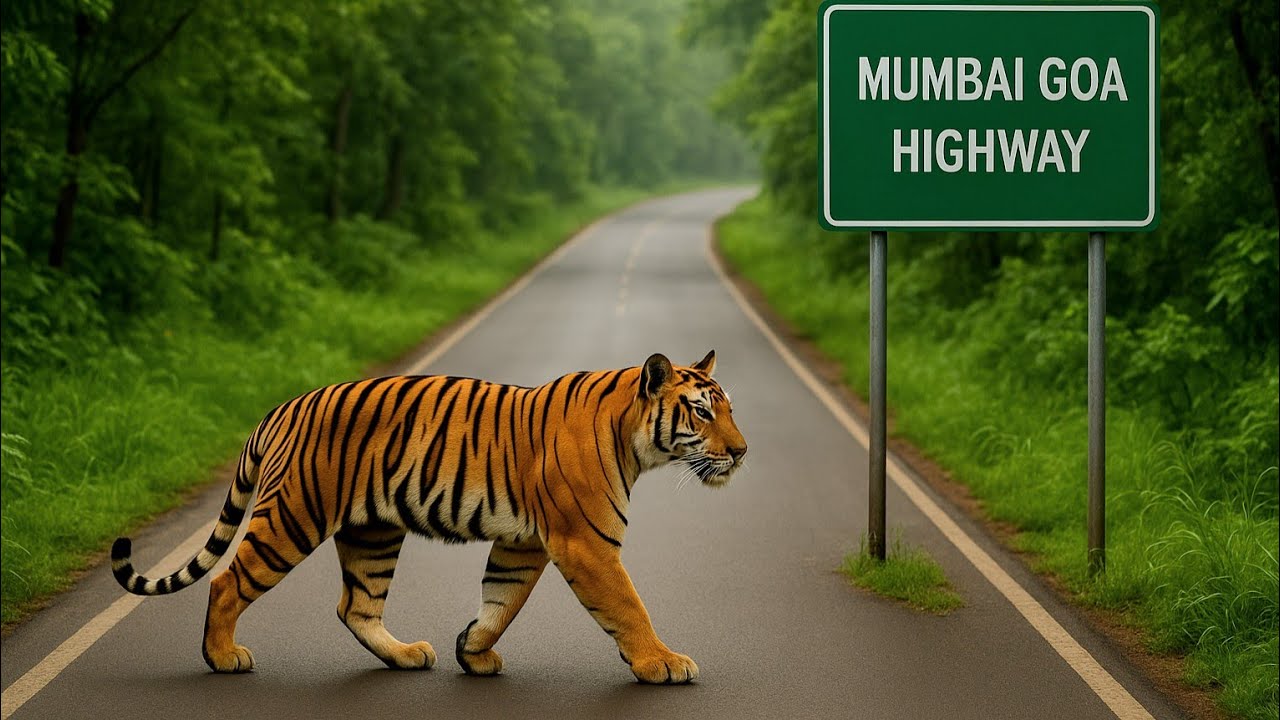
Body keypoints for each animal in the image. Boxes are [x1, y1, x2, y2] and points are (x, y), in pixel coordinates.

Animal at [111, 350, 747, 684]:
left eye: (731, 410)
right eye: (701, 412)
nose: (742, 452)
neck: (633, 441)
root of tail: (283, 407)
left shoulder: (524, 543)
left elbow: (502, 600)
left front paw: (473, 650)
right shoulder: (584, 543)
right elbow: (628, 606)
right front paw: (662, 663)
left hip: (372, 533)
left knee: (355, 606)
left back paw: (405, 655)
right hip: (292, 518)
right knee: (226, 581)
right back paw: (222, 657)